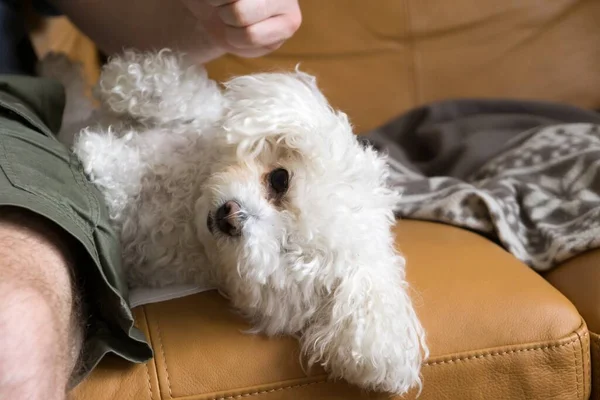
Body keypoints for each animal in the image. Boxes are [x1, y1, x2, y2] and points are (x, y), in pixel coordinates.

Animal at [41, 49, 426, 394]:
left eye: (289, 252)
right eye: (280, 180)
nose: (231, 216)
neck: (188, 197)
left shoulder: (147, 247)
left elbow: (121, 192)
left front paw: (99, 156)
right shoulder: (200, 120)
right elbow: (187, 98)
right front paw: (126, 80)